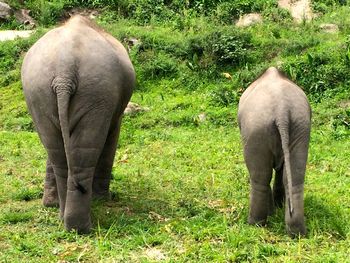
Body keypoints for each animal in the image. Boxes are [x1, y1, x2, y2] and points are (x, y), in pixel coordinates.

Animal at [21, 14, 135, 233]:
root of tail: (64, 70)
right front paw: (102, 199)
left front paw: (50, 204)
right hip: (97, 92)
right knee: (84, 153)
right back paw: (80, 227)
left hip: (39, 92)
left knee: (58, 153)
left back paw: (64, 218)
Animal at [238, 66, 312, 237]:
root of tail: (282, 110)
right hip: (300, 127)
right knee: (295, 177)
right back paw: (297, 233)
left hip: (256, 129)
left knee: (260, 177)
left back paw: (255, 224)